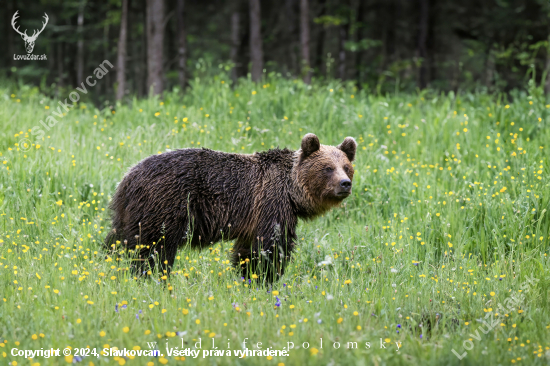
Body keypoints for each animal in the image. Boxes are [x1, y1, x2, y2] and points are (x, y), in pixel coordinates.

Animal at [106, 134, 358, 280]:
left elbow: (248, 249)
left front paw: (247, 275)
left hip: (129, 213)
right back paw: (153, 275)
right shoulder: (271, 202)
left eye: (346, 166)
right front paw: (266, 277)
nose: (345, 184)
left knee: (118, 240)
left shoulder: (254, 216)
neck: (292, 191)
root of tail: (128, 178)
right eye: (327, 168)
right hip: (166, 204)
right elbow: (272, 244)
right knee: (154, 246)